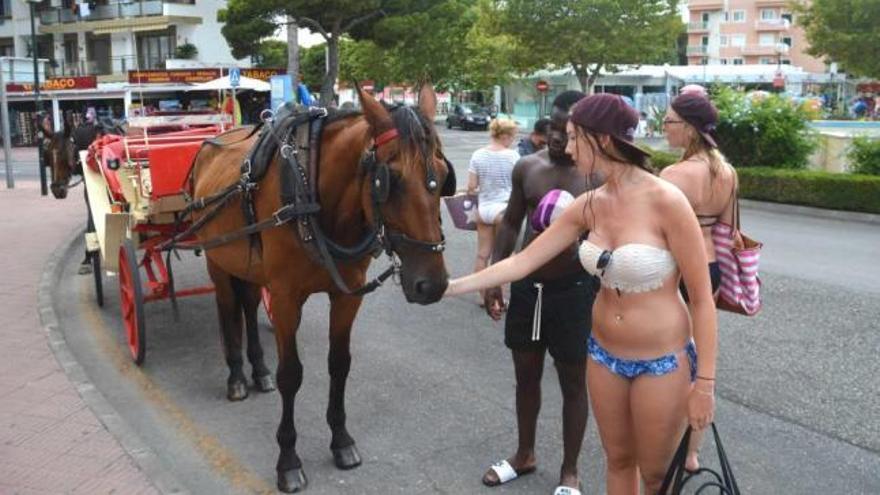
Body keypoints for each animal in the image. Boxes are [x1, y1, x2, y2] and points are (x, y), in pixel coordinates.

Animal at [192, 85, 454, 492]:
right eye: (389, 180)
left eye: (443, 176)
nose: (432, 284)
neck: (312, 195)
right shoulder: (285, 299)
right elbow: (291, 374)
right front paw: (288, 460)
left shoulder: (347, 295)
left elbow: (339, 365)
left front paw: (341, 440)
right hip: (218, 261)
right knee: (227, 308)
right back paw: (236, 377)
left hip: (250, 266)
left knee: (248, 304)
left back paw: (258, 370)